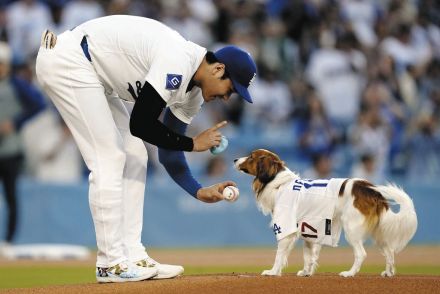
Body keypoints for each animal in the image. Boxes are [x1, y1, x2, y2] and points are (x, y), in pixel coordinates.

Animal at [234, 149, 416, 278]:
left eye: (251, 157)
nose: (235, 160)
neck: (278, 183)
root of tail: (369, 189)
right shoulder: (309, 229)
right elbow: (308, 256)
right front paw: (306, 272)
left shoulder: (285, 228)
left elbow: (280, 255)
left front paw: (273, 272)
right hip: (379, 233)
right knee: (390, 252)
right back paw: (389, 273)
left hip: (351, 230)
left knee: (361, 254)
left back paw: (350, 273)